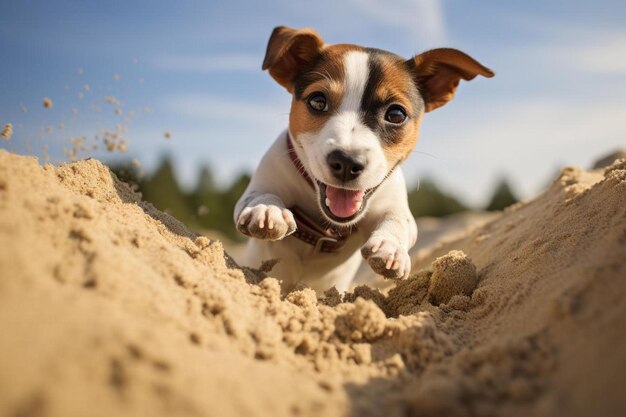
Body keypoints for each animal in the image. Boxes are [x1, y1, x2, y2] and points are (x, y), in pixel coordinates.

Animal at [234, 26, 492, 292]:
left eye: (396, 114)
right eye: (317, 100)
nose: (347, 162)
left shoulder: (394, 204)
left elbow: (399, 220)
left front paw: (390, 247)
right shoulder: (266, 179)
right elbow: (260, 195)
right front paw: (267, 210)